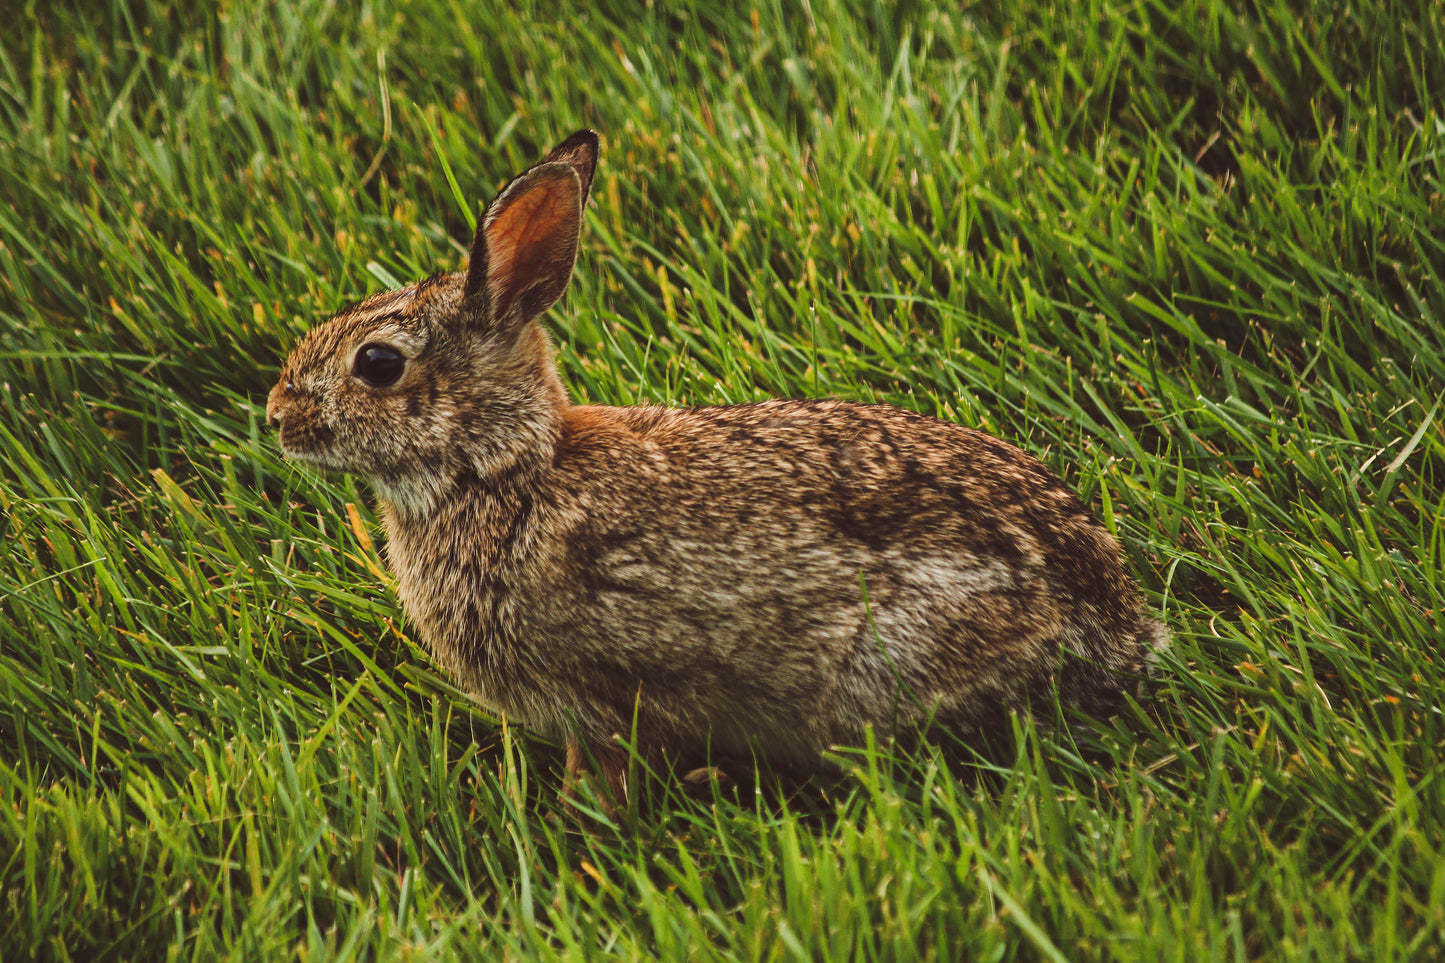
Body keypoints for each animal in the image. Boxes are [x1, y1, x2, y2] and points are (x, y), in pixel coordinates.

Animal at [265, 129, 1167, 803]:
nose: (277, 416)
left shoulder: (606, 682)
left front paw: (582, 815)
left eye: (377, 364)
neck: (504, 470)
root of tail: (1115, 625)